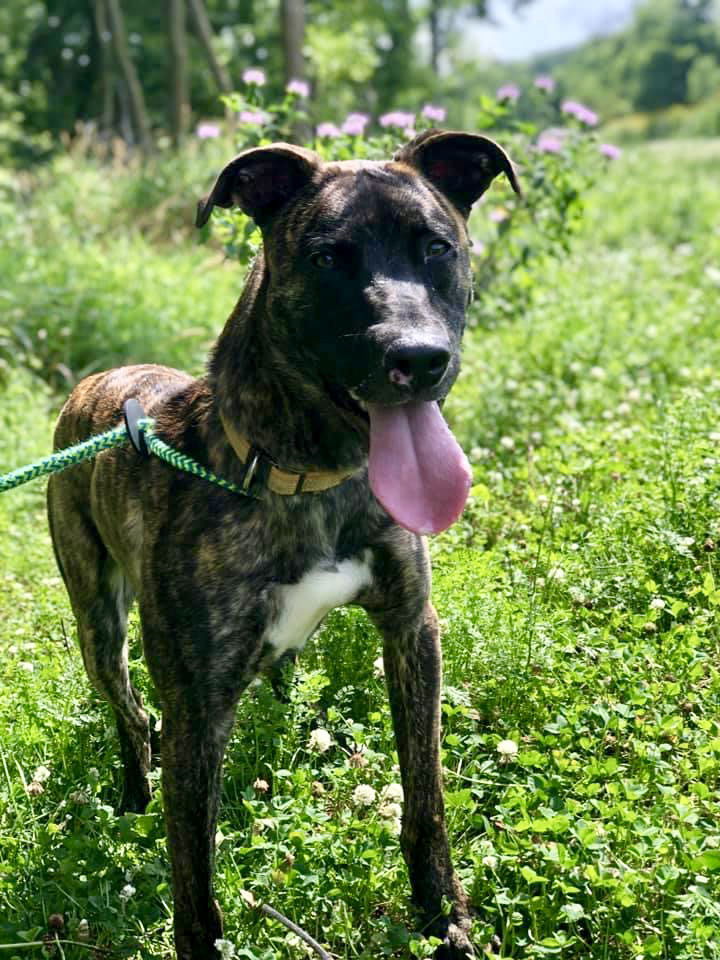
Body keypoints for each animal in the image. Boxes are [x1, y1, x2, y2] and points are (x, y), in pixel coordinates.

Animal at [47, 129, 520, 960]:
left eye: (437, 246)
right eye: (328, 257)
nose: (420, 359)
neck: (309, 475)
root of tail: (95, 381)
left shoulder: (412, 629)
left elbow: (424, 796)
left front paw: (443, 917)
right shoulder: (197, 705)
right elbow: (195, 887)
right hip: (98, 624)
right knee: (130, 713)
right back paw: (135, 792)